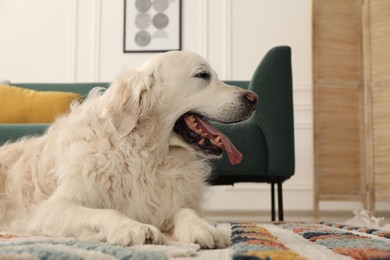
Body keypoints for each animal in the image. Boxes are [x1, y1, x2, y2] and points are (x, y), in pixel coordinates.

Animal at [0, 50, 258, 248]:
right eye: (202, 75)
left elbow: (185, 211)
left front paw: (202, 227)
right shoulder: (54, 208)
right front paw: (134, 228)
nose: (254, 97)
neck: (147, 155)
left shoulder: (167, 199)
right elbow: (105, 212)